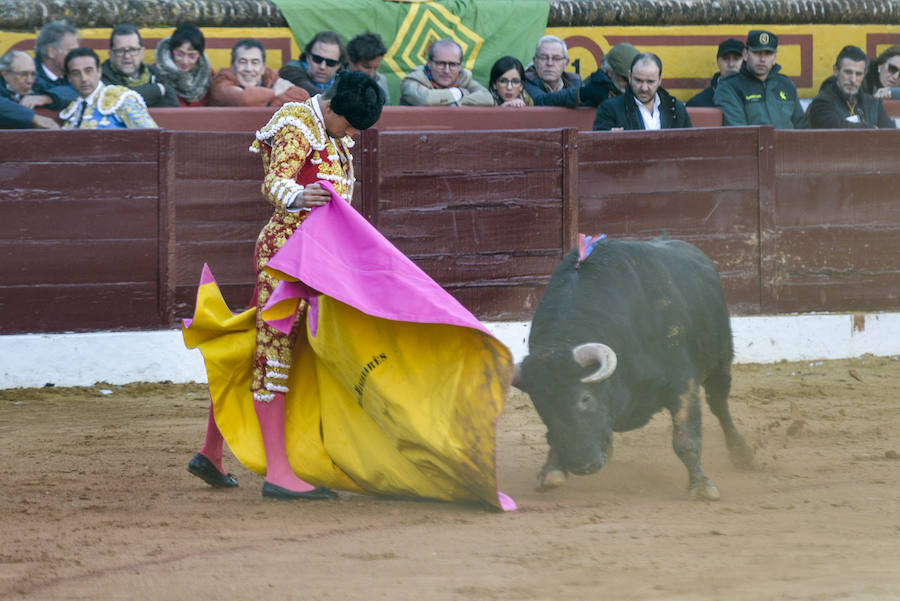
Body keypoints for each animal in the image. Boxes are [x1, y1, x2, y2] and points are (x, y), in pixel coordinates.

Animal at [512, 237, 752, 500]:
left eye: (585, 398)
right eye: (540, 405)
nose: (582, 465)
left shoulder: (681, 381)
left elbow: (685, 437)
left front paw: (701, 486)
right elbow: (555, 435)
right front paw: (551, 471)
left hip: (720, 361)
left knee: (719, 405)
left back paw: (742, 454)